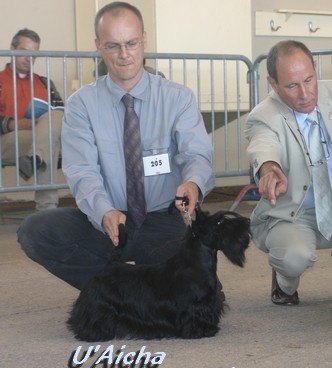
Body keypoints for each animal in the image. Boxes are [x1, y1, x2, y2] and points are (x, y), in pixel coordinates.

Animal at [67, 206, 249, 340]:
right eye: (219, 222)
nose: (247, 221)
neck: (196, 262)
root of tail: (109, 266)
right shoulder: (197, 305)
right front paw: (202, 331)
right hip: (97, 305)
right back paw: (94, 333)